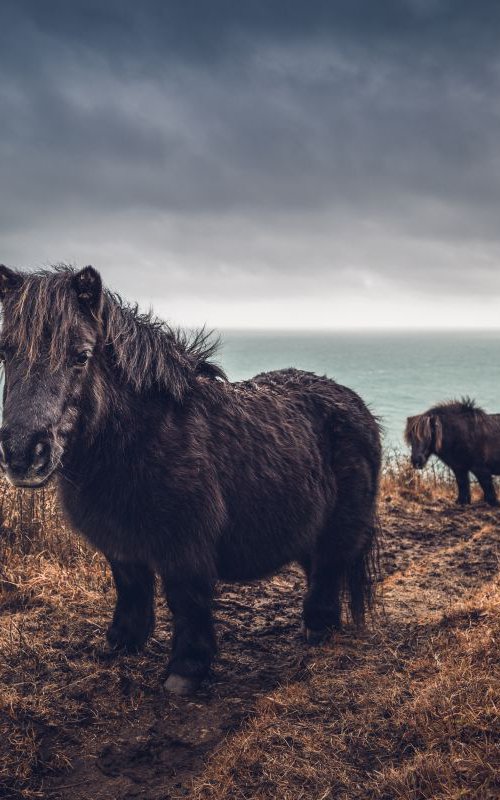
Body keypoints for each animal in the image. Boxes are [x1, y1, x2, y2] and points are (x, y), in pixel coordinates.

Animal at [0, 262, 380, 692]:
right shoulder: (121, 542)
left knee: (330, 569)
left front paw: (186, 671)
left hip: (342, 527)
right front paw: (122, 644)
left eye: (81, 355)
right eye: (4, 352)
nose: (22, 454)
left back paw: (318, 629)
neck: (141, 438)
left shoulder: (185, 547)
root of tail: (354, 403)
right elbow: (130, 589)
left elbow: (187, 600)